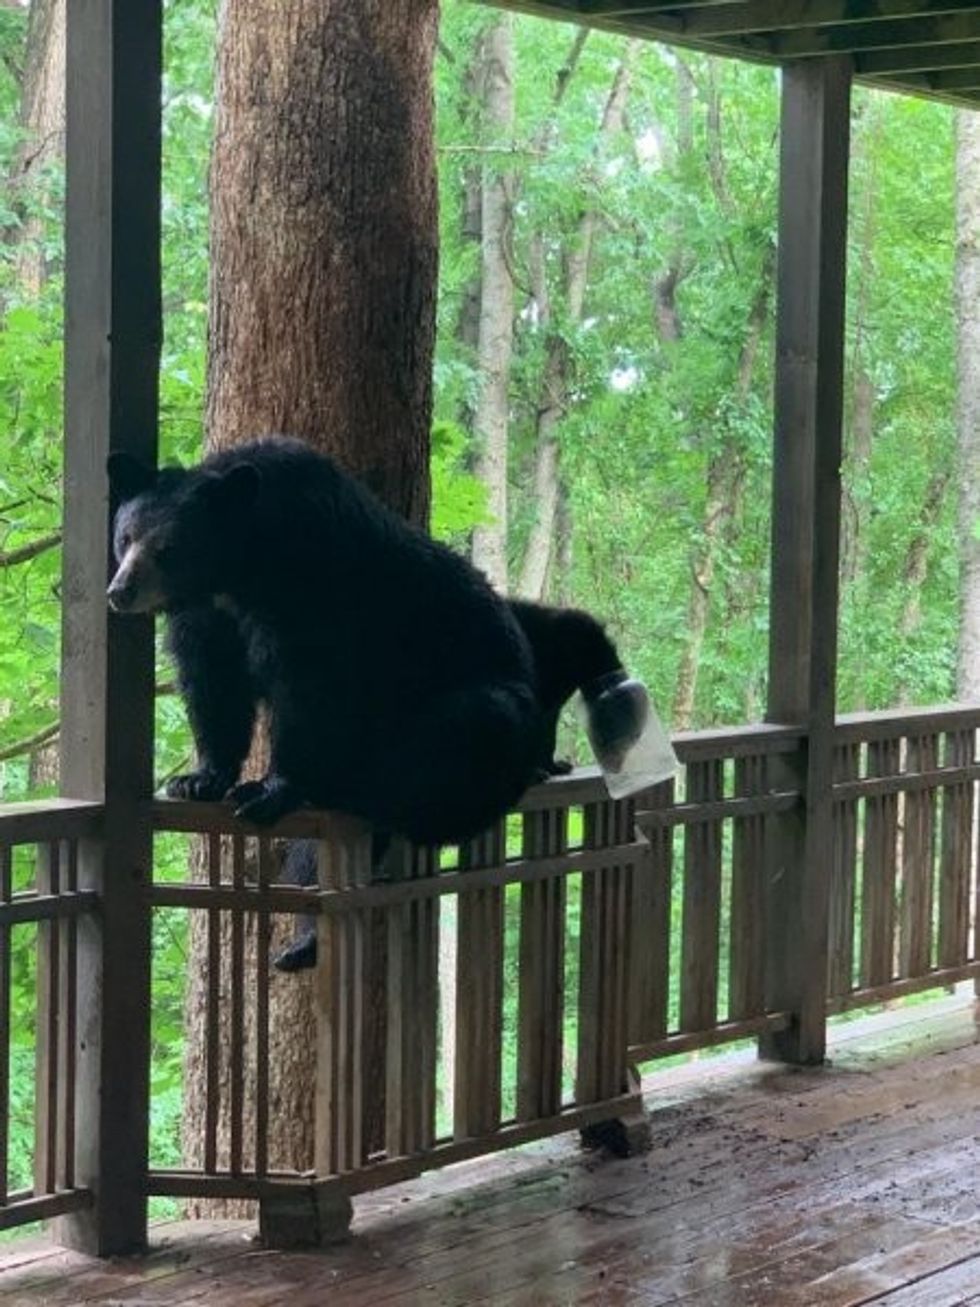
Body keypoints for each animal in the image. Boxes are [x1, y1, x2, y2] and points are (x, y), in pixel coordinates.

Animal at [106, 436, 544, 846]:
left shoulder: (314, 588)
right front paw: (199, 779)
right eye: (125, 537)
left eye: (168, 549)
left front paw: (268, 789)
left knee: (476, 720)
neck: (240, 572)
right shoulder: (209, 616)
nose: (120, 591)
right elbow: (213, 681)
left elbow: (307, 686)